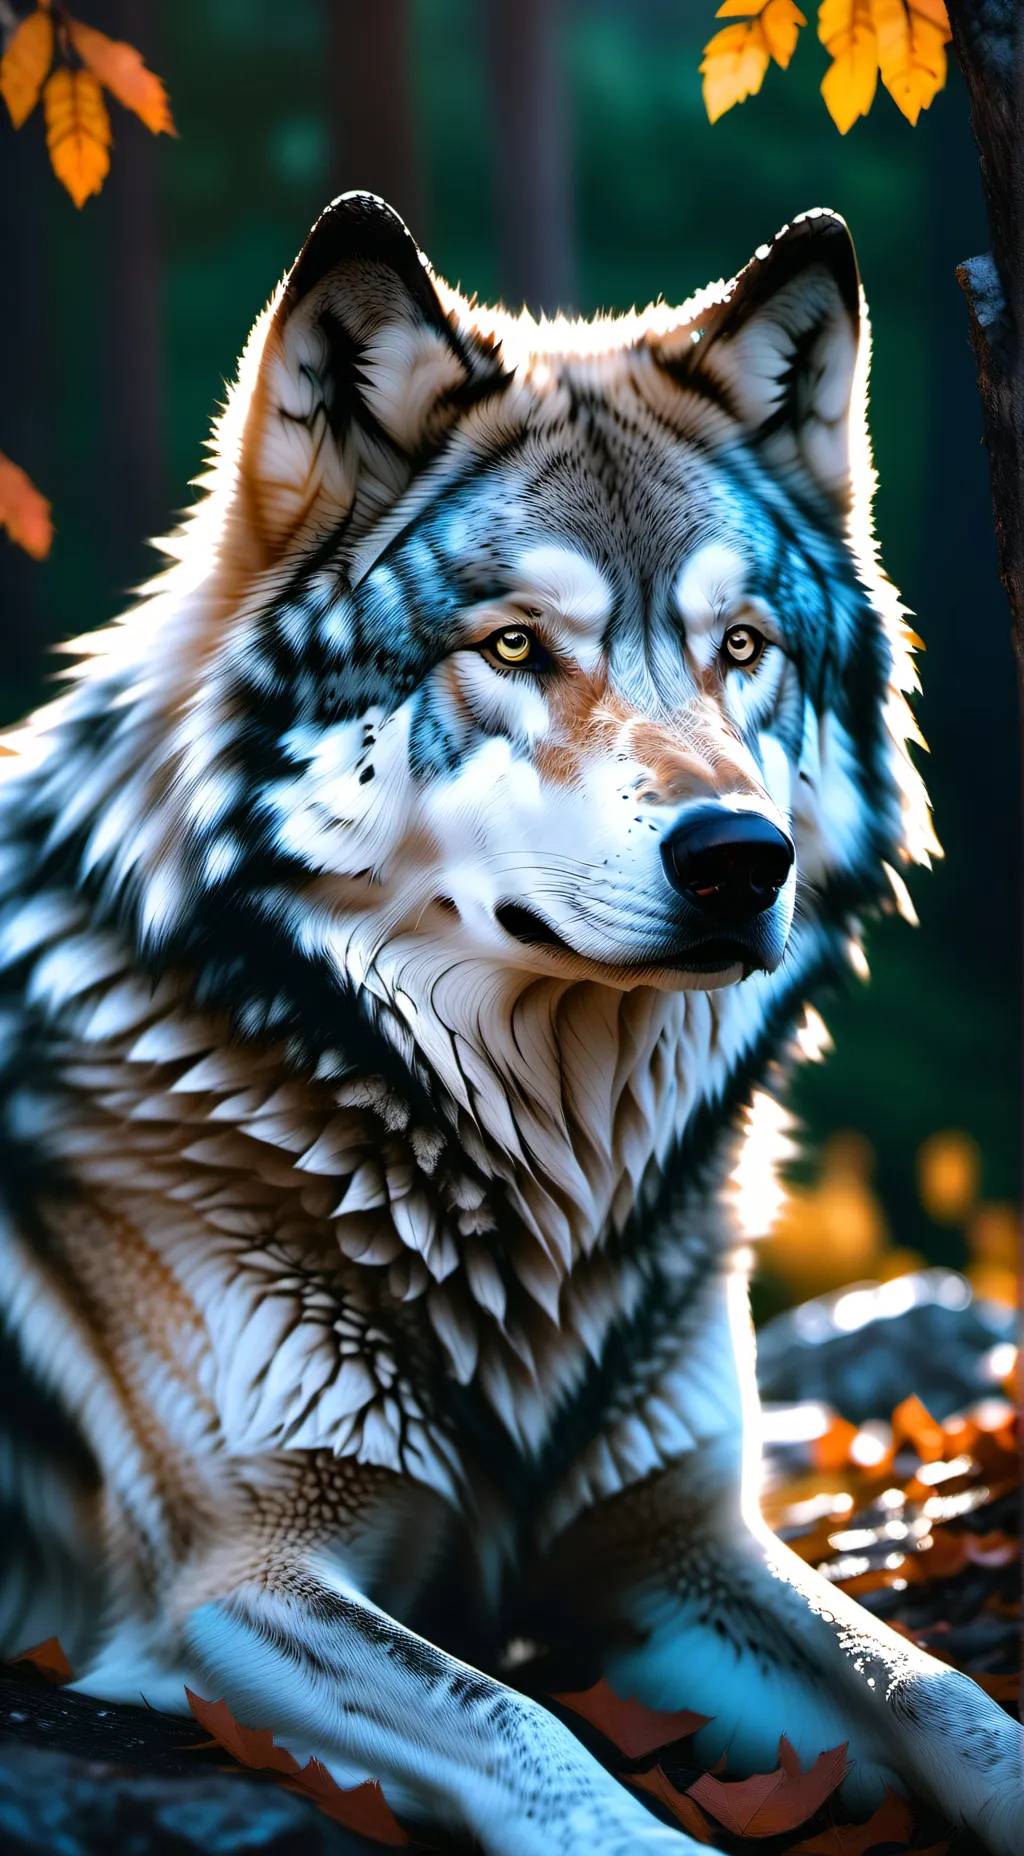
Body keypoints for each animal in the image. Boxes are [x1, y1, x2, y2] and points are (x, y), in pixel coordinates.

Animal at [0, 193, 1019, 1855]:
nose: (742, 860)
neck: (540, 1193)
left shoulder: (678, 1545)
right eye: (518, 648)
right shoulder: (232, 1584)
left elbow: (947, 1700)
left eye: (744, 648)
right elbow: (534, 1735)